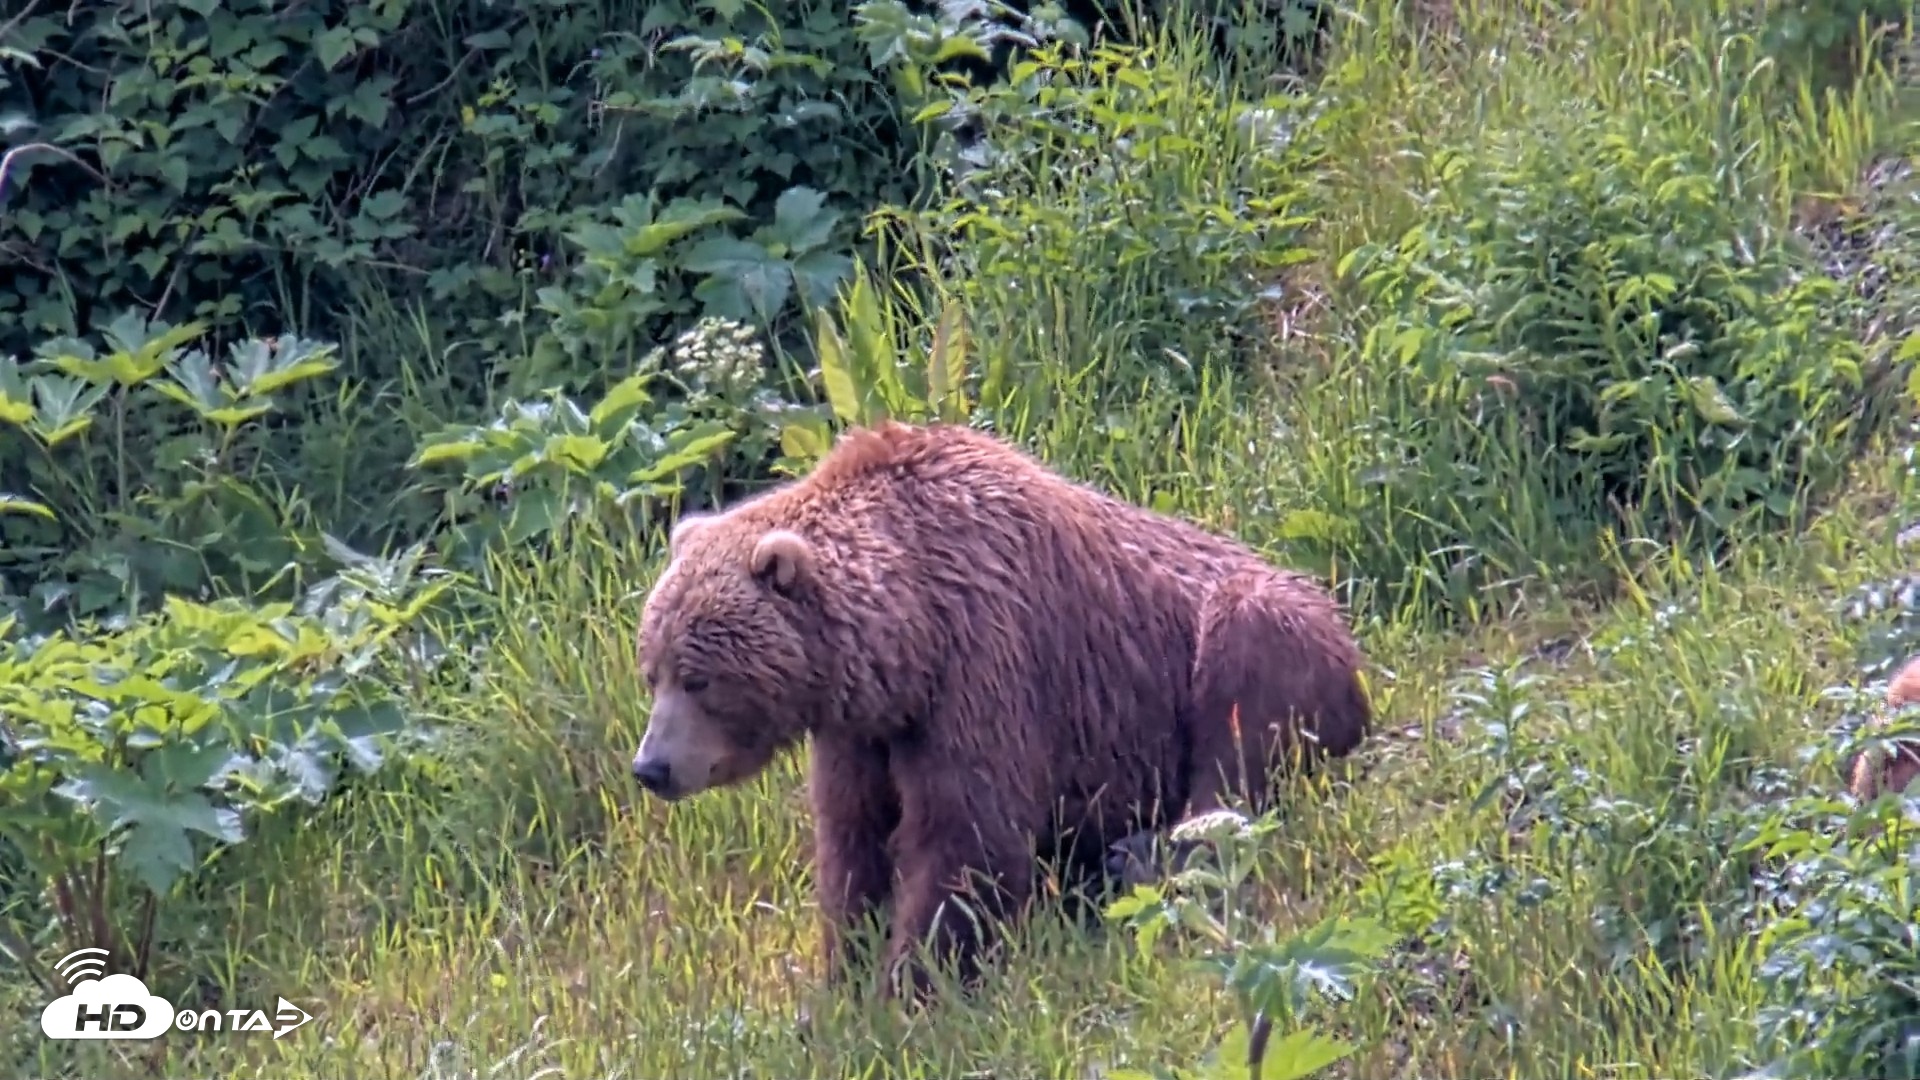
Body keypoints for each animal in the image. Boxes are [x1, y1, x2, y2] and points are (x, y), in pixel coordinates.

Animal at [629, 420, 1372, 1000]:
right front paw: (843, 980)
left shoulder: (986, 667)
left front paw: (911, 987)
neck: (910, 637)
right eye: (651, 670)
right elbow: (854, 838)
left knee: (1237, 731)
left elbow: (967, 837)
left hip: (1244, 635)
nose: (651, 767)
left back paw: (1148, 852)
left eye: (698, 679)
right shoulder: (861, 731)